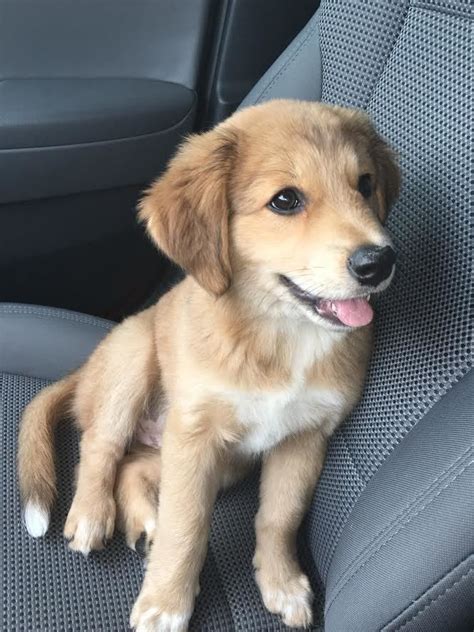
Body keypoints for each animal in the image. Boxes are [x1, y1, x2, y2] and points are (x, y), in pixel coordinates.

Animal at [16, 101, 398, 628]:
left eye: (364, 184)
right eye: (285, 200)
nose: (378, 262)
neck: (280, 333)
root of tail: (86, 371)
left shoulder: (304, 437)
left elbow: (279, 515)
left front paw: (281, 581)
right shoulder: (196, 435)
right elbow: (188, 523)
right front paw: (166, 603)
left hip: (214, 457)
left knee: (132, 467)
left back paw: (145, 520)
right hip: (134, 361)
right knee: (100, 447)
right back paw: (92, 513)